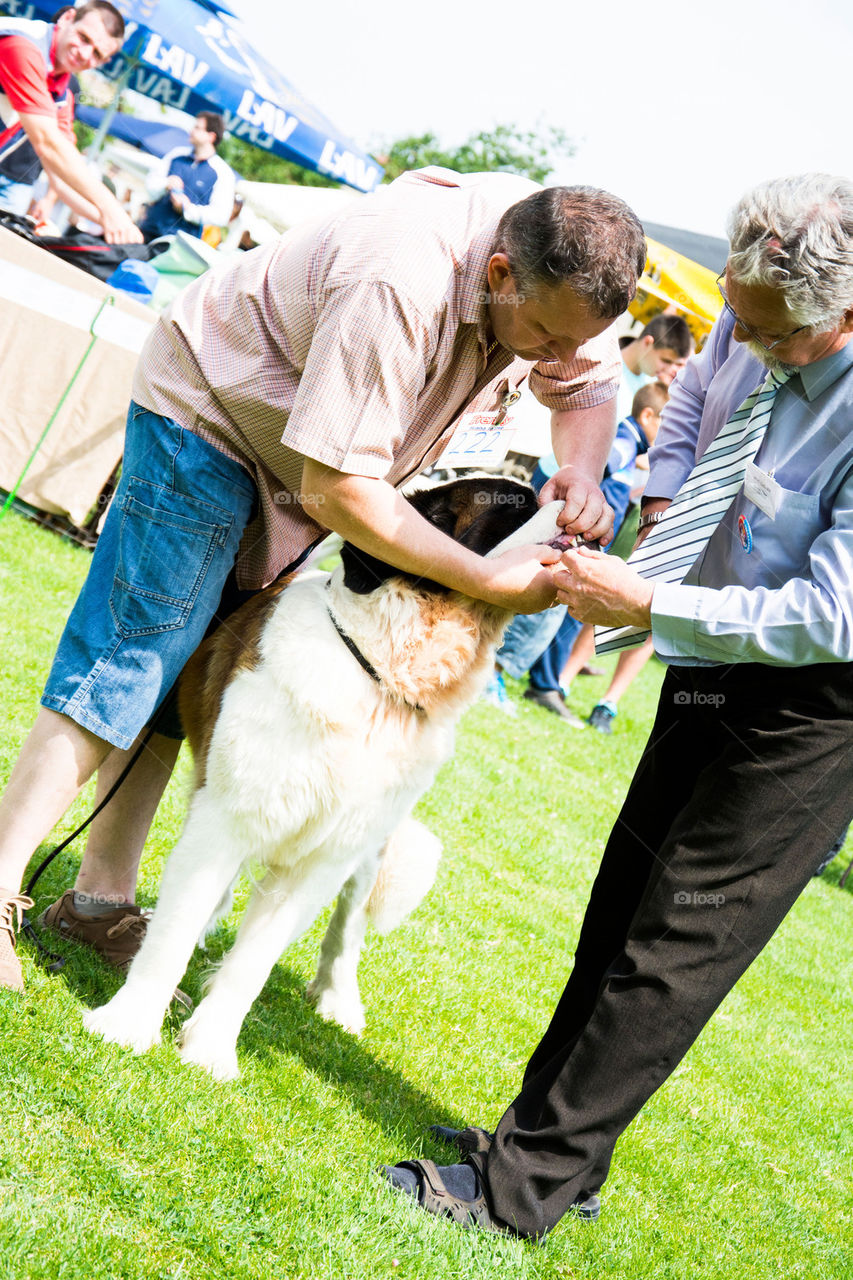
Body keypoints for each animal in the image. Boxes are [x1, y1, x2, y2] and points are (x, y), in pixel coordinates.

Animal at [83, 476, 568, 1075]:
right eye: (518, 504)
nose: (591, 509)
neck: (382, 675)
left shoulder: (325, 855)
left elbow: (254, 963)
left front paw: (210, 1050)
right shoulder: (227, 816)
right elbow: (175, 929)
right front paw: (129, 1024)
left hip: (368, 842)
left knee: (349, 924)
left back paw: (338, 997)